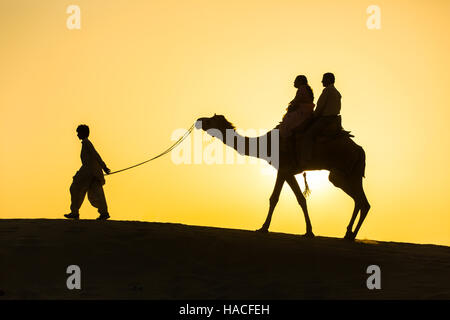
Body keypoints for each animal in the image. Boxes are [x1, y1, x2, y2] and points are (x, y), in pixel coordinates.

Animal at [195, 115, 370, 240]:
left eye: (210, 119)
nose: (198, 121)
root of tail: (360, 150)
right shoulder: (288, 172)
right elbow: (300, 199)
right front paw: (308, 231)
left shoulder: (283, 168)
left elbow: (276, 198)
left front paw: (264, 228)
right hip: (342, 175)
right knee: (360, 201)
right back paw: (348, 234)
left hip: (348, 172)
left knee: (363, 202)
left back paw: (352, 235)